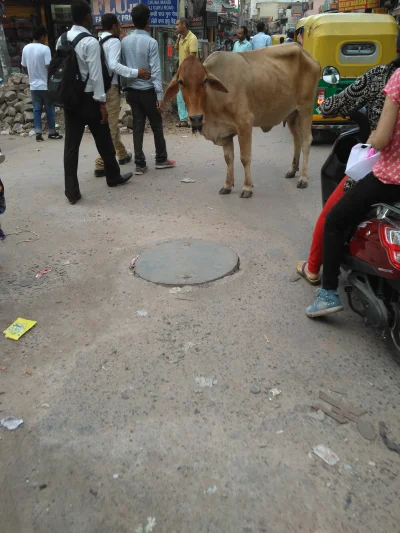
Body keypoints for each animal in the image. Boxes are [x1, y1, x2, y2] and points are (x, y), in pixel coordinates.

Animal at [164, 44, 320, 197]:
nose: (196, 118)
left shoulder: (244, 123)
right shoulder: (225, 133)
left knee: (306, 140)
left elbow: (245, 157)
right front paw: (227, 185)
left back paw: (303, 178)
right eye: (181, 81)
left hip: (305, 109)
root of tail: (310, 57)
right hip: (292, 115)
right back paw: (292, 170)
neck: (214, 98)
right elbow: (228, 158)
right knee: (297, 140)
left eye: (204, 80)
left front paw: (247, 187)